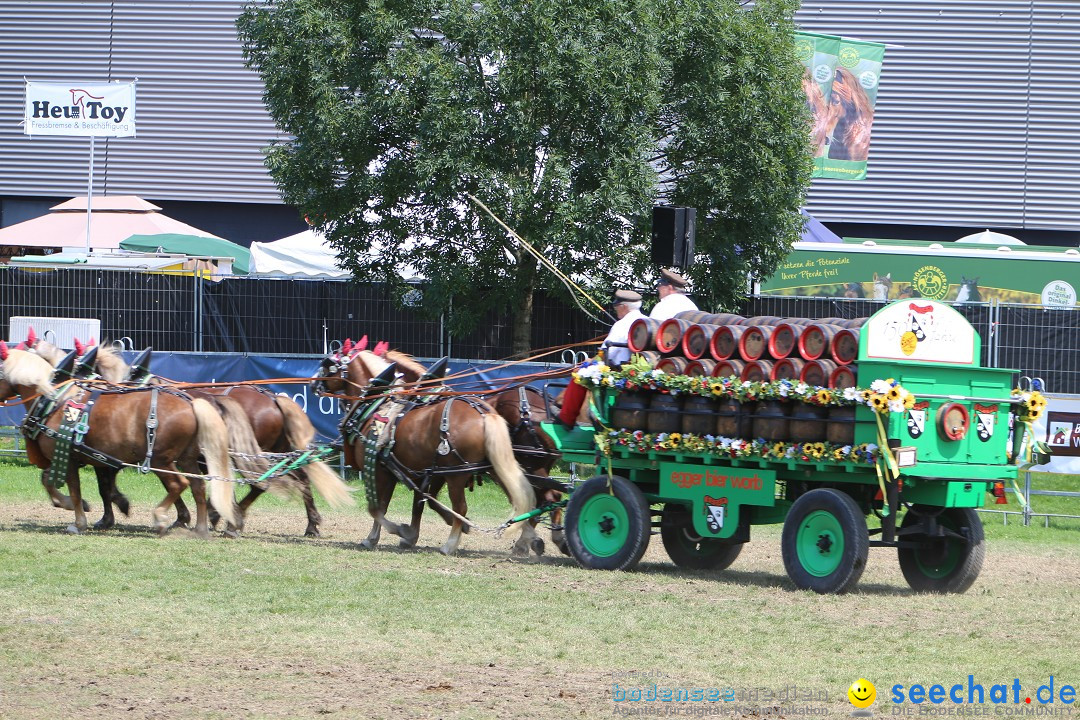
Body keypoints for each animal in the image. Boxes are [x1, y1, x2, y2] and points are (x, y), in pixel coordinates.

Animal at [0, 345, 236, 537]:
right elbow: (51, 481)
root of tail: (192, 404)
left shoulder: (68, 457)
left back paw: (163, 518)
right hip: (187, 458)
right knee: (198, 486)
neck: (56, 399)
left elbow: (75, 489)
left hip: (161, 459)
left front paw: (80, 521)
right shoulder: (86, 460)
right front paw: (93, 510)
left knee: (179, 484)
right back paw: (202, 528)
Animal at [313, 345, 535, 557]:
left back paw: (450, 545)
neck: (378, 404)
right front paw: (403, 536)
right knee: (522, 498)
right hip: (495, 467)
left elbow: (377, 508)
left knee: (461, 506)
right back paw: (530, 537)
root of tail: (483, 413)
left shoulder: (377, 469)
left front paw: (390, 533)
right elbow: (411, 504)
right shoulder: (410, 472)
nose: (313, 384)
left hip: (456, 475)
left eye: (327, 364)